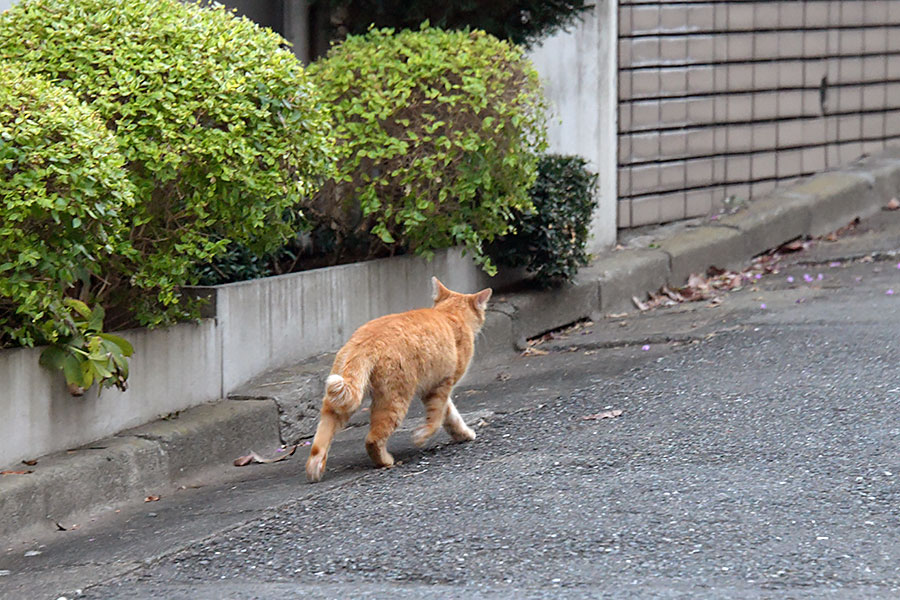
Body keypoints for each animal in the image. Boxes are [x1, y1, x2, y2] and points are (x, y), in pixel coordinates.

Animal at [308, 278, 492, 482]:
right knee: (373, 439)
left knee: (322, 437)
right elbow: (437, 419)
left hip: (340, 401)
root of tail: (364, 341)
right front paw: (422, 436)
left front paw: (463, 434)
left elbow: (450, 416)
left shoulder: (437, 387)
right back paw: (386, 461)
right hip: (395, 401)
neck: (450, 314)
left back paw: (315, 467)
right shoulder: (440, 386)